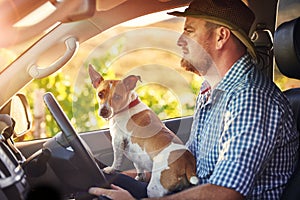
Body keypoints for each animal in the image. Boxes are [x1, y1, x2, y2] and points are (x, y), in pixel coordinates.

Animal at [88, 64, 198, 197]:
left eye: (117, 96)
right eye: (100, 94)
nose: (104, 111)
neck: (128, 105)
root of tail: (188, 162)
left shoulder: (118, 140)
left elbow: (117, 159)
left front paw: (111, 169)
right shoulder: (135, 154)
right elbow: (138, 166)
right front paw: (140, 177)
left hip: (154, 188)